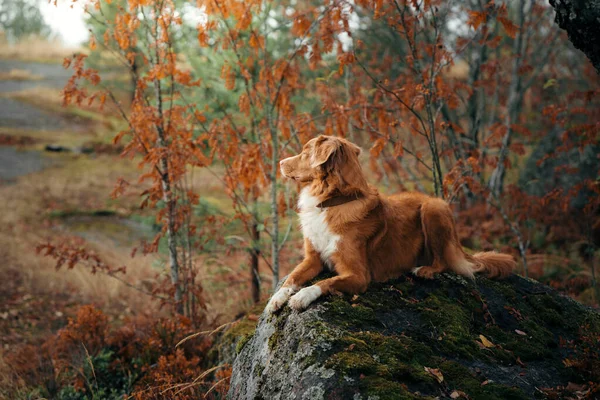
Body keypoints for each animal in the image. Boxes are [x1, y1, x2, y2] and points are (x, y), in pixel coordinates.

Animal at [268, 134, 516, 312]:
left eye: (305, 152)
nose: (279, 162)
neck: (334, 201)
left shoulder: (358, 276)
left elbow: (324, 283)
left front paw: (302, 296)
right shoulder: (313, 258)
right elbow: (292, 278)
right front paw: (276, 299)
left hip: (433, 208)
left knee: (444, 262)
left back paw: (424, 269)